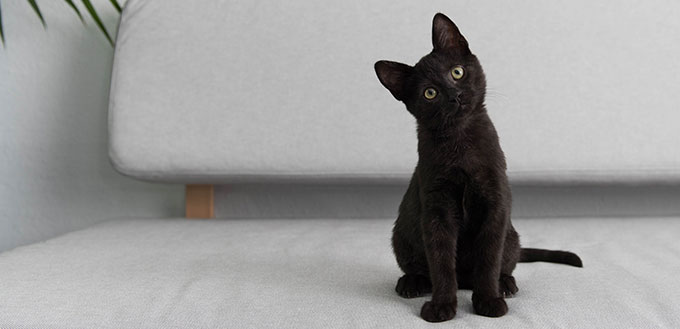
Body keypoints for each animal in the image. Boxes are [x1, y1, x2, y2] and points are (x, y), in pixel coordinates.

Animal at [374, 14, 580, 322]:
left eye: (457, 72)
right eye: (430, 93)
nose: (454, 96)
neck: (461, 146)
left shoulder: (495, 203)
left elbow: (488, 259)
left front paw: (488, 300)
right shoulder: (437, 209)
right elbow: (441, 262)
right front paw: (442, 306)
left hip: (511, 235)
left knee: (504, 263)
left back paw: (505, 284)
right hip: (401, 235)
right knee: (419, 267)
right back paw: (412, 283)